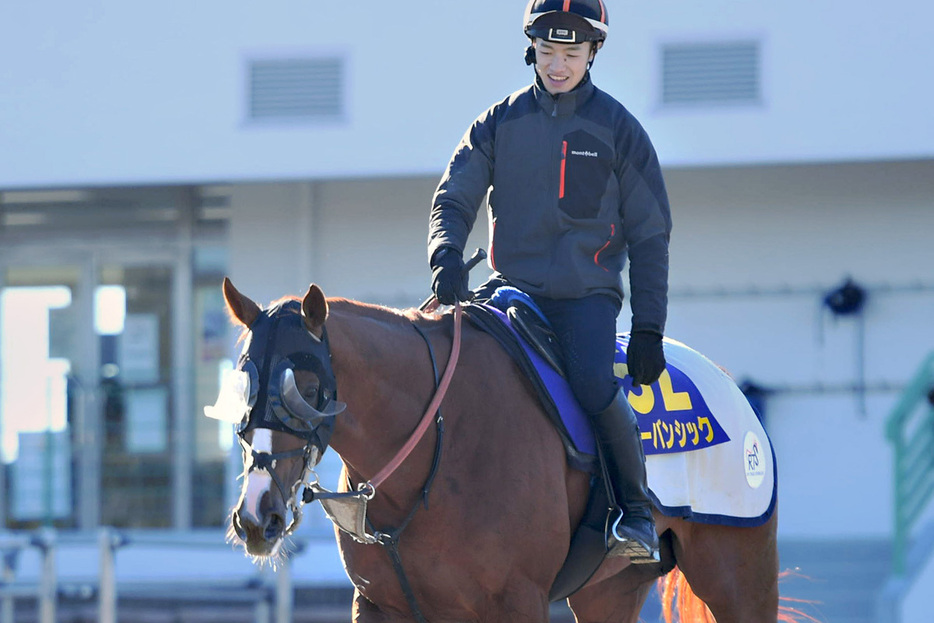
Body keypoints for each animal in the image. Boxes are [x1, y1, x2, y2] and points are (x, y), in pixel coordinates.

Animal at [212, 280, 812, 620]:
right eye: (243, 383)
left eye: (307, 389)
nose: (257, 516)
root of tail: (730, 384)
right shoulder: (381, 605)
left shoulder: (517, 600)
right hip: (609, 591)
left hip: (739, 579)